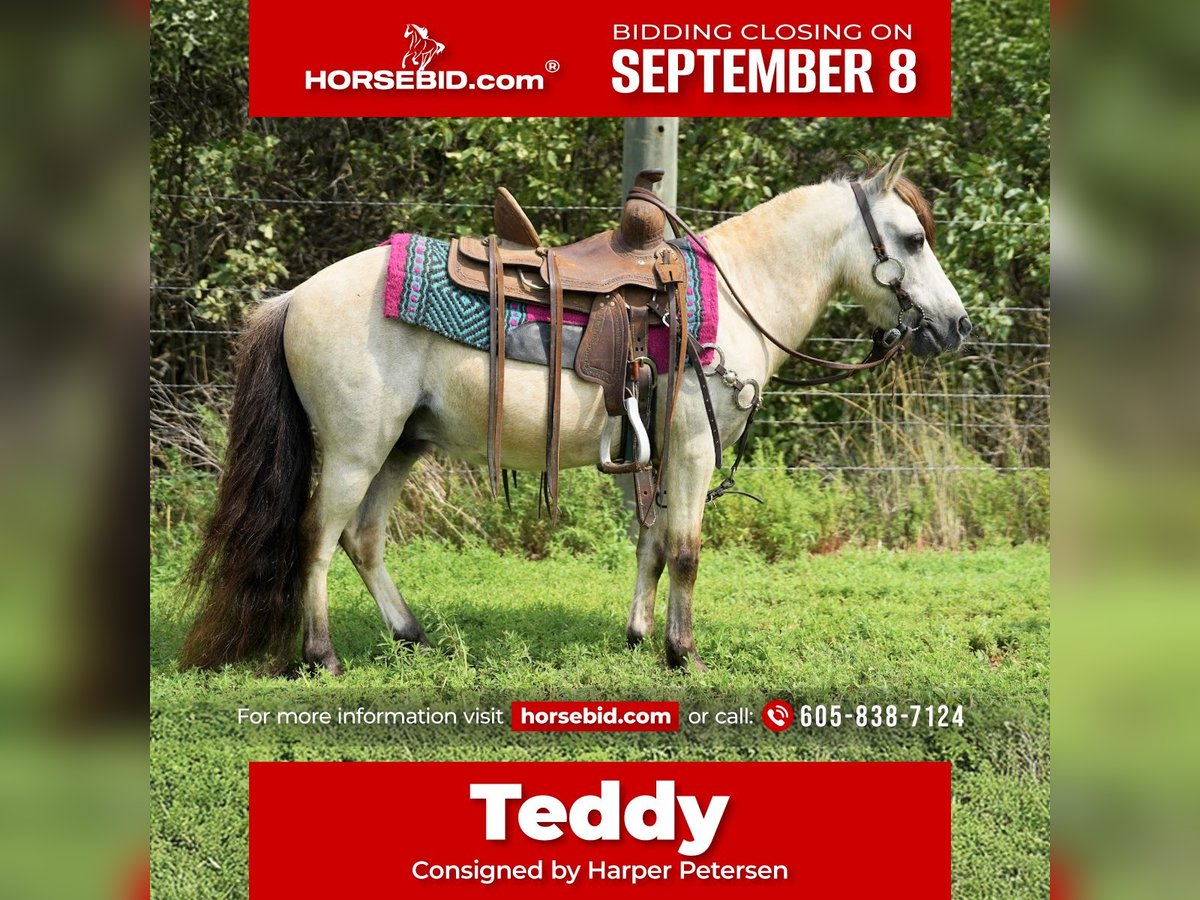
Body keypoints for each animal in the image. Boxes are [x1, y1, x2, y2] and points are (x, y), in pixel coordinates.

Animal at [179, 150, 971, 675]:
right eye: (912, 239)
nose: (956, 326)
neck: (734, 292)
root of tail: (294, 298)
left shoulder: (651, 452)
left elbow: (652, 546)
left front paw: (639, 636)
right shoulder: (692, 448)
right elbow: (686, 550)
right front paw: (683, 654)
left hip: (401, 445)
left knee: (362, 538)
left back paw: (412, 635)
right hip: (353, 448)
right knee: (317, 537)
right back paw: (321, 656)